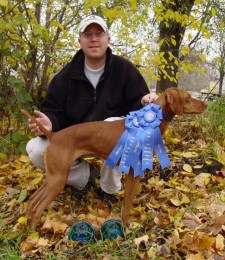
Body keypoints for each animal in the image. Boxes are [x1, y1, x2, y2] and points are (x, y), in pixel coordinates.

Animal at [21, 87, 207, 225]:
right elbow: (127, 205)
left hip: (53, 177)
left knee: (32, 201)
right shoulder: (133, 173)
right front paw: (126, 228)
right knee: (37, 208)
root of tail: (53, 135)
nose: (205, 105)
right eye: (188, 97)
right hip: (58, 179)